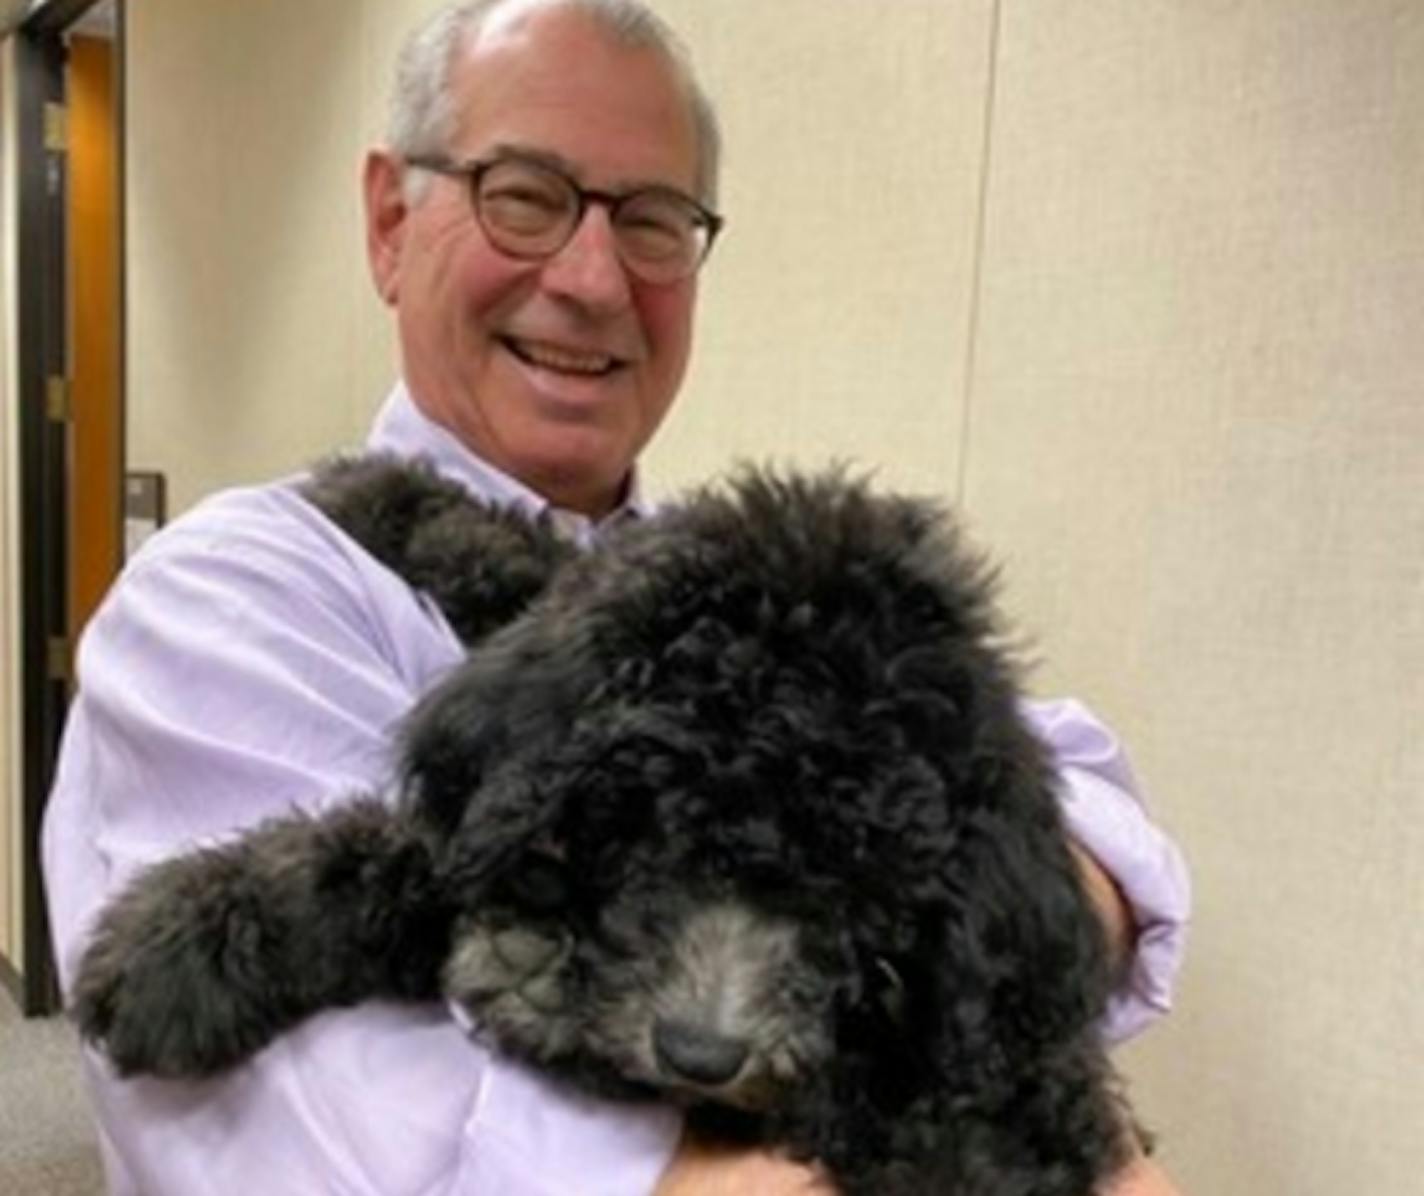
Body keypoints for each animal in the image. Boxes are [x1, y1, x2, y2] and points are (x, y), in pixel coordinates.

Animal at [72, 452, 1133, 1190]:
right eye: (656, 822)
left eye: (857, 895)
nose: (701, 1055)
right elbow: (534, 570)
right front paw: (187, 940)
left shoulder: (991, 1111)